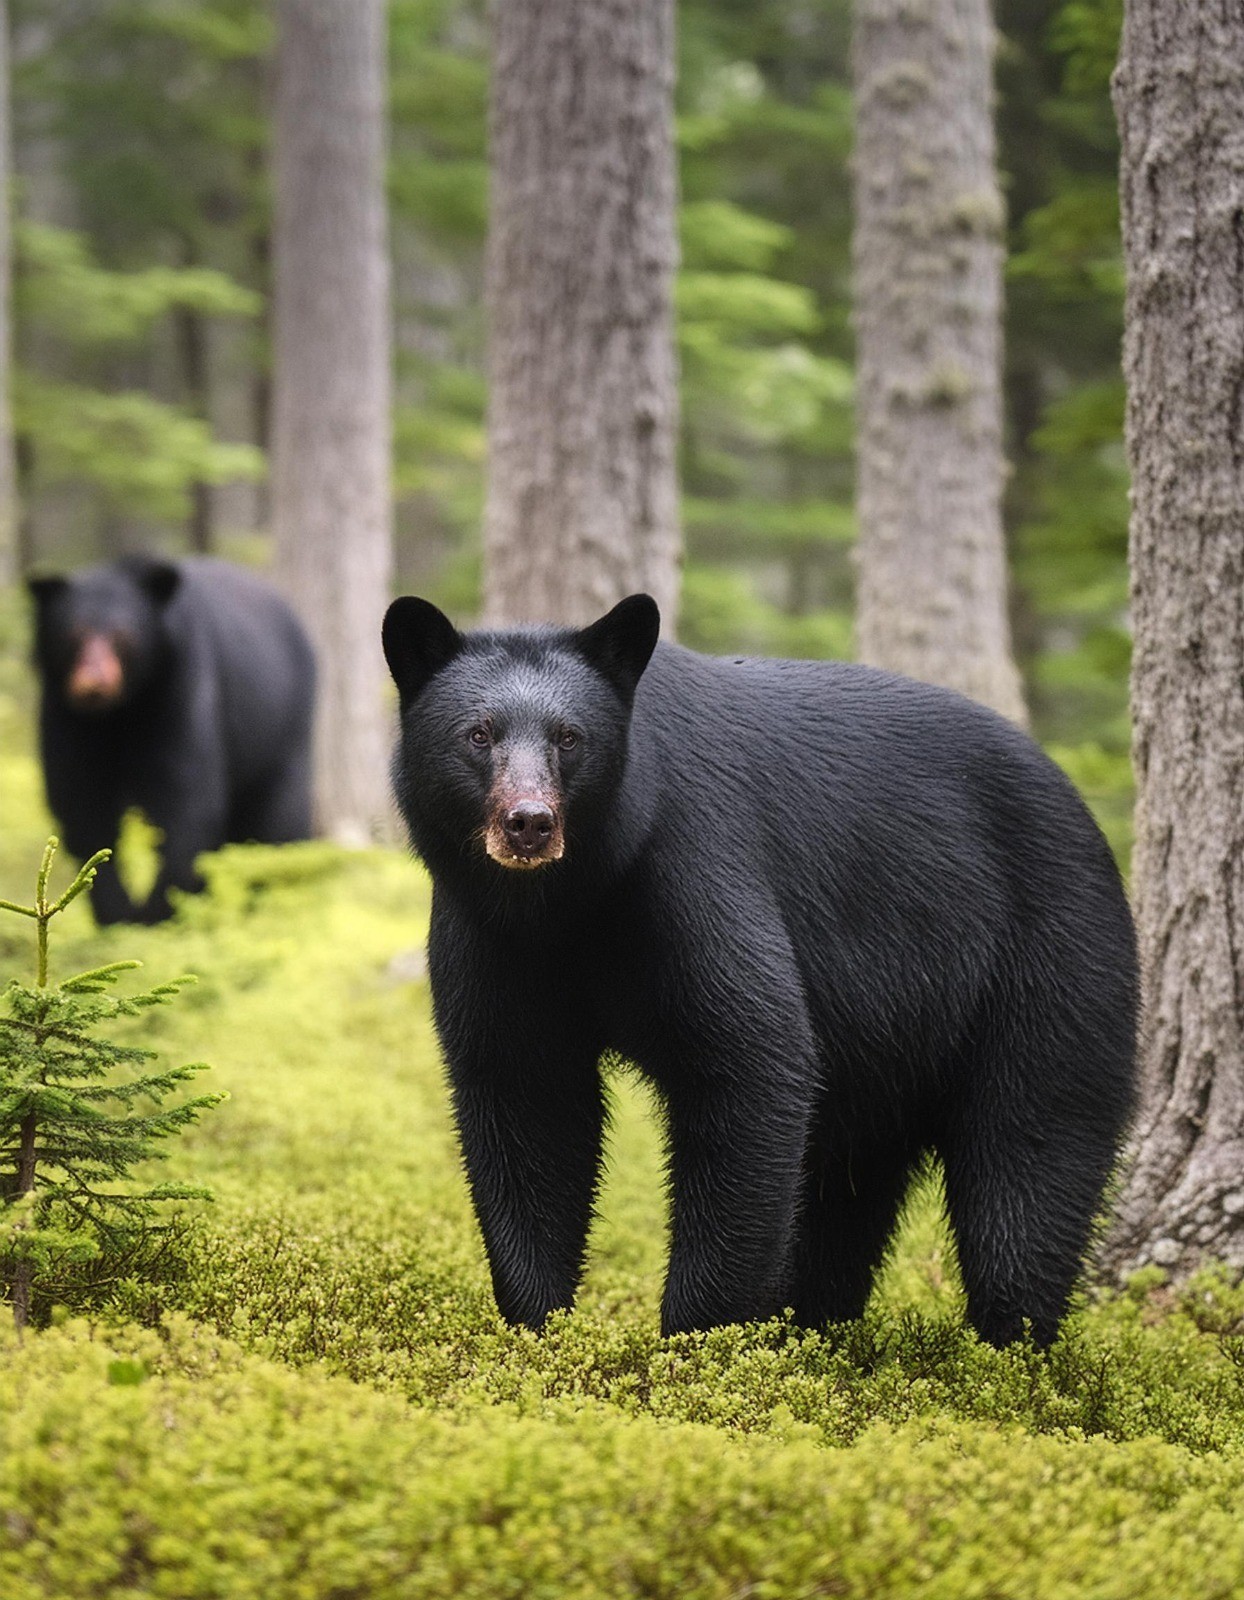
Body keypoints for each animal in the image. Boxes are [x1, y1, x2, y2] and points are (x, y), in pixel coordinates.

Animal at [29, 554, 316, 925]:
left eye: (122, 635)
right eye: (74, 633)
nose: (94, 684)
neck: (122, 710)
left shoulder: (181, 687)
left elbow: (184, 798)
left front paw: (159, 911)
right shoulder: (67, 715)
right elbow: (83, 801)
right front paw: (117, 911)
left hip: (281, 726)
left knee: (278, 821)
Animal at [382, 592, 1138, 1348]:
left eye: (570, 737)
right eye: (479, 734)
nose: (530, 823)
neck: (566, 900)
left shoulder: (691, 863)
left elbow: (749, 1062)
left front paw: (698, 1341)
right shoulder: (492, 936)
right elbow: (524, 1098)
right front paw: (539, 1327)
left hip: (1051, 959)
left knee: (1028, 1161)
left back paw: (1009, 1345)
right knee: (846, 1189)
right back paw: (815, 1327)